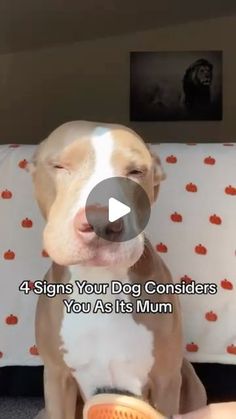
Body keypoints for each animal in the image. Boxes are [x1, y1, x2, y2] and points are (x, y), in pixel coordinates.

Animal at [31, 122, 206, 419]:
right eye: (59, 166)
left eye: (136, 172)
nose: (102, 221)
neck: (100, 283)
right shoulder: (57, 377)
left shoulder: (166, 380)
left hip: (190, 379)